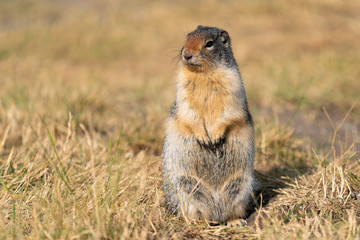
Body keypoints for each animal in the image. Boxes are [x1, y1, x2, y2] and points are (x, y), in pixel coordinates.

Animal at [162, 25, 255, 223]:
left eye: (209, 43)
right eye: (186, 38)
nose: (186, 54)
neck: (204, 74)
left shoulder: (234, 89)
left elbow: (229, 113)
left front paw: (216, 136)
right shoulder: (183, 94)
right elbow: (190, 114)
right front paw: (205, 138)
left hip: (241, 186)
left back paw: (235, 221)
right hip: (186, 188)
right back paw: (200, 222)